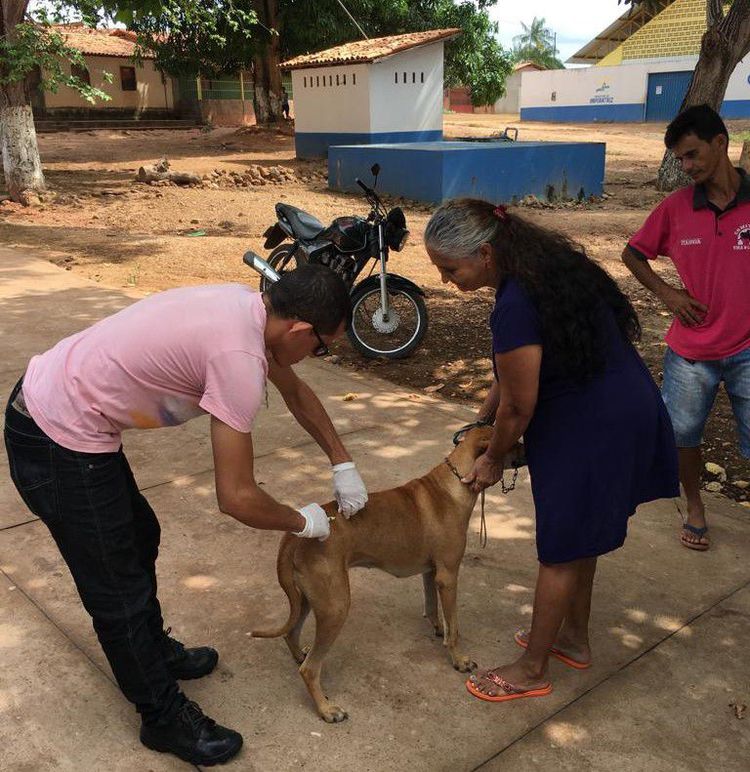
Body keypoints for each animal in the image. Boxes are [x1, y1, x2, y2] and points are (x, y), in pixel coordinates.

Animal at [253, 428, 516, 724]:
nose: (528, 450)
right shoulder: (448, 576)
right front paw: (459, 659)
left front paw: (438, 627)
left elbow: (432, 607)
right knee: (310, 670)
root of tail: (294, 537)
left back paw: (299, 655)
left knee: (291, 634)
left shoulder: (432, 573)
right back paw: (326, 709)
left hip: (308, 599)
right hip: (335, 607)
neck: (454, 483)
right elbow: (455, 627)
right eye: (514, 443)